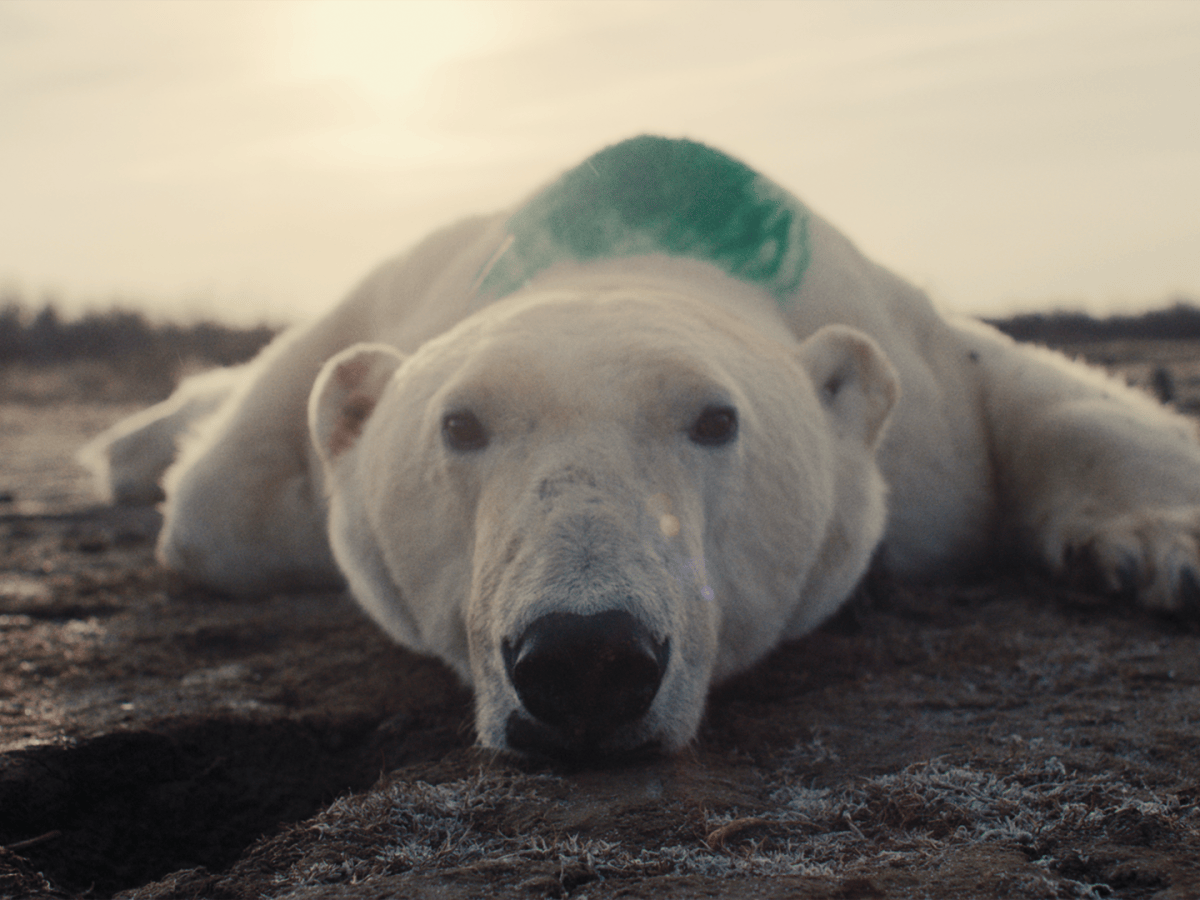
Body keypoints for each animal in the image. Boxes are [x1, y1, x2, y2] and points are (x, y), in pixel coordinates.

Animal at [82, 135, 1200, 760]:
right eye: (460, 424)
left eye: (716, 419)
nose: (586, 655)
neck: (638, 225)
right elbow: (220, 506)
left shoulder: (911, 374)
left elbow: (1021, 383)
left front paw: (1157, 549)